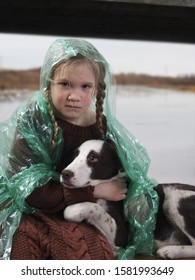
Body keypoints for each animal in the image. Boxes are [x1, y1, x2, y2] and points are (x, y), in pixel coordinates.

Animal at [60, 139, 195, 260]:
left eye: (93, 157)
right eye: (75, 156)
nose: (65, 173)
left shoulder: (122, 235)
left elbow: (96, 209)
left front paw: (73, 211)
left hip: (174, 200)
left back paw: (171, 251)